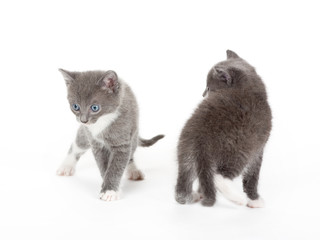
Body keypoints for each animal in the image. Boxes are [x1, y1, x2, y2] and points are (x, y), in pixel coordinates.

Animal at [56, 69, 164, 201]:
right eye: (75, 106)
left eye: (95, 107)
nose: (83, 120)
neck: (103, 121)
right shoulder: (96, 144)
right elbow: (104, 167)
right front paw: (110, 188)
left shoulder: (122, 143)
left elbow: (117, 166)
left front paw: (110, 190)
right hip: (85, 134)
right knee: (77, 145)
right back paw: (66, 166)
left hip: (133, 135)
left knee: (130, 155)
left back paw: (133, 171)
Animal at [175, 51, 272, 208]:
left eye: (208, 87)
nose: (203, 95)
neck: (250, 90)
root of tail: (201, 138)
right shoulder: (258, 149)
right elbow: (252, 177)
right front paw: (254, 200)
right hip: (239, 149)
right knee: (218, 176)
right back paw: (238, 199)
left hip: (186, 152)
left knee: (182, 186)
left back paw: (192, 196)